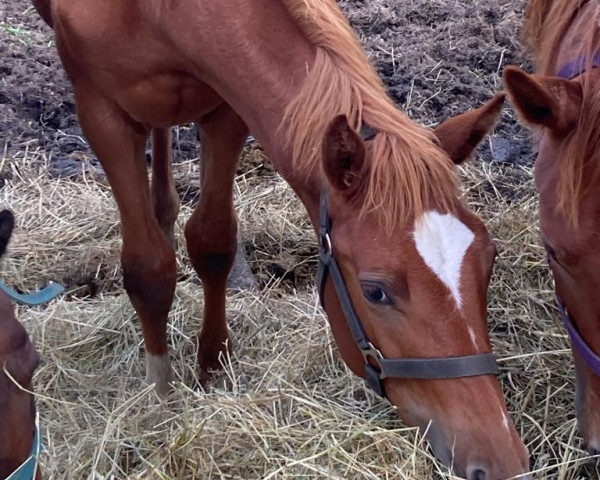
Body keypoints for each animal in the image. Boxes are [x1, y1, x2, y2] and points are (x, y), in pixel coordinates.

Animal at [35, 0, 528, 476]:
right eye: (375, 291)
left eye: (488, 262)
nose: (502, 461)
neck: (157, 11)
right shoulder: (101, 115)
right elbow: (148, 270)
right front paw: (162, 396)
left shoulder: (226, 107)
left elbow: (212, 242)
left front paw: (212, 368)